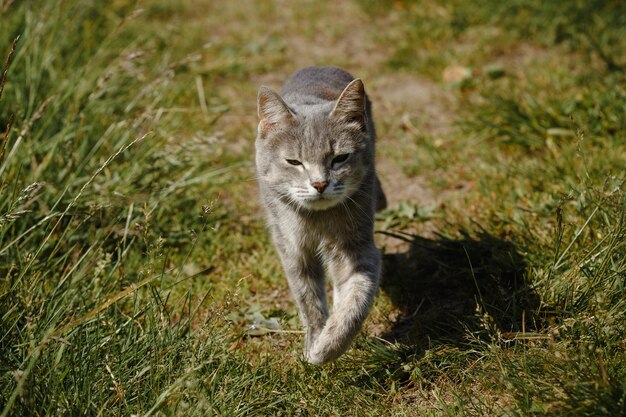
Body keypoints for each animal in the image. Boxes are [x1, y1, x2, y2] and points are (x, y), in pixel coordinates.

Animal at [255, 66, 382, 362]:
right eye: (294, 162)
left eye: (340, 158)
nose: (320, 184)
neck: (317, 222)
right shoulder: (292, 249)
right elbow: (308, 299)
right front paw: (314, 342)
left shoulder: (357, 248)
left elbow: (356, 299)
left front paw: (328, 346)